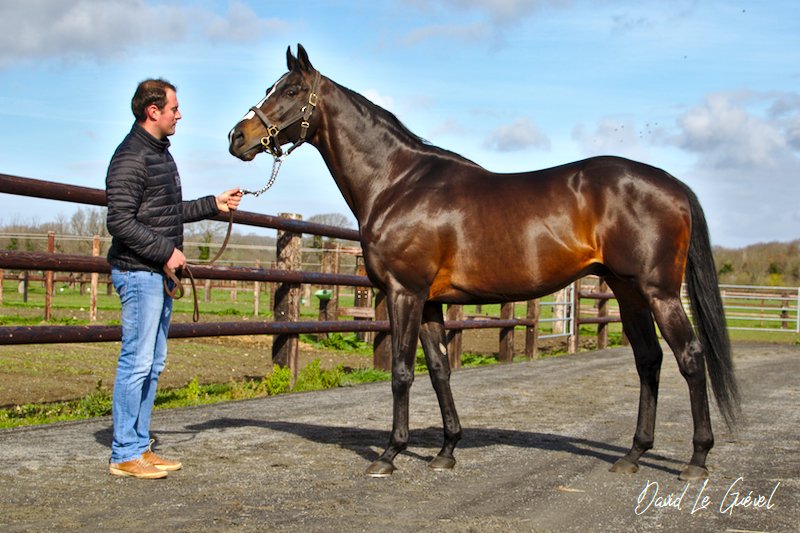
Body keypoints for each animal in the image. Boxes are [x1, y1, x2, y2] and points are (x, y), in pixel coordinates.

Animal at [228, 44, 740, 481]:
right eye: (272, 87)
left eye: (291, 91)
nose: (238, 137)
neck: (397, 182)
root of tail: (672, 184)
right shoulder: (429, 302)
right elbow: (438, 370)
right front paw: (447, 450)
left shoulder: (404, 292)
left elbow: (400, 372)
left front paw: (389, 455)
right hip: (627, 289)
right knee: (648, 360)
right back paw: (633, 455)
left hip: (658, 292)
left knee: (689, 358)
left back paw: (696, 460)